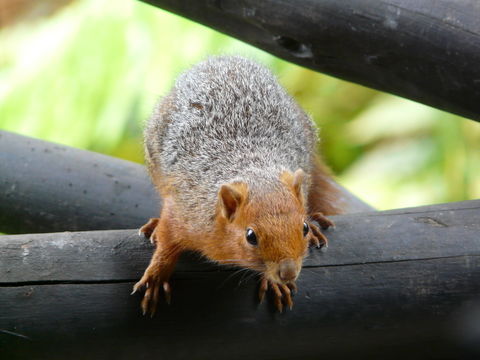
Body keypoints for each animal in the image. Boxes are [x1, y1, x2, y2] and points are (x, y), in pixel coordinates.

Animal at [131, 55, 342, 316]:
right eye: (251, 236)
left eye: (302, 228)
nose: (288, 272)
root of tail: (223, 60)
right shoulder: (183, 209)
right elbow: (167, 242)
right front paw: (157, 275)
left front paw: (274, 281)